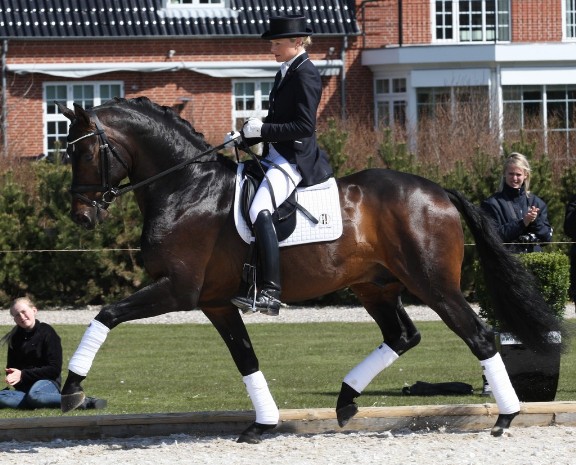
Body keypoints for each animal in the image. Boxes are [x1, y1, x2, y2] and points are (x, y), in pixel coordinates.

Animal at [56, 97, 563, 443]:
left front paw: (72, 388)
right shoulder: (214, 302)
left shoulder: (178, 290)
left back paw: (506, 415)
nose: (81, 216)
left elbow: (106, 314)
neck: (186, 187)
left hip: (434, 285)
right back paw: (345, 400)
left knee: (480, 336)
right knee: (402, 336)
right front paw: (263, 424)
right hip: (375, 287)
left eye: (83, 153)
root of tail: (438, 191)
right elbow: (246, 358)